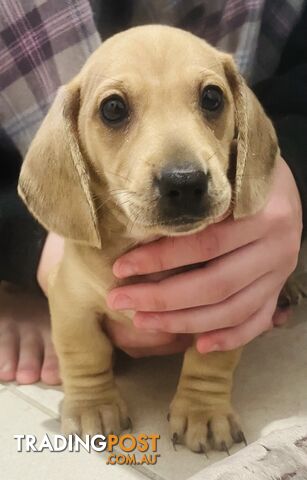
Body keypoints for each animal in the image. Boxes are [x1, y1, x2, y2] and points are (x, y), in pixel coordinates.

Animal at [18, 25, 280, 454]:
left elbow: (211, 361)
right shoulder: (71, 304)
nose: (185, 182)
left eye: (212, 98)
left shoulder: (229, 308)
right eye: (113, 108)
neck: (145, 240)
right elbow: (84, 354)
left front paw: (203, 413)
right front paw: (93, 406)